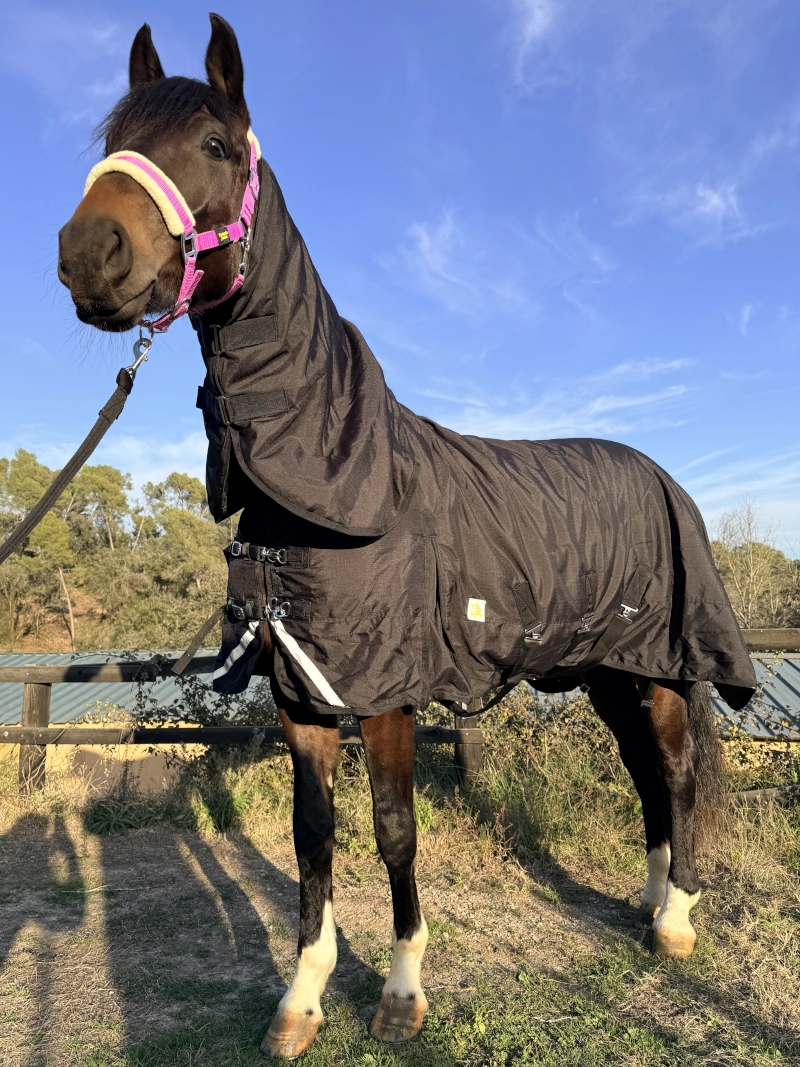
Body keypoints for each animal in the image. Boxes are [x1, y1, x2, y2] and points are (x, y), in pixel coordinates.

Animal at [56, 14, 756, 1059]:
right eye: (111, 142)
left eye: (216, 145)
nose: (85, 253)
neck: (334, 480)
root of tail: (664, 475)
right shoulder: (301, 691)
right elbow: (312, 836)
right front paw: (301, 999)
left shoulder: (384, 690)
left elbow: (392, 828)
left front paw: (400, 992)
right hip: (608, 672)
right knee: (645, 775)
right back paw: (648, 898)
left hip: (664, 667)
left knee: (672, 772)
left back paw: (675, 920)